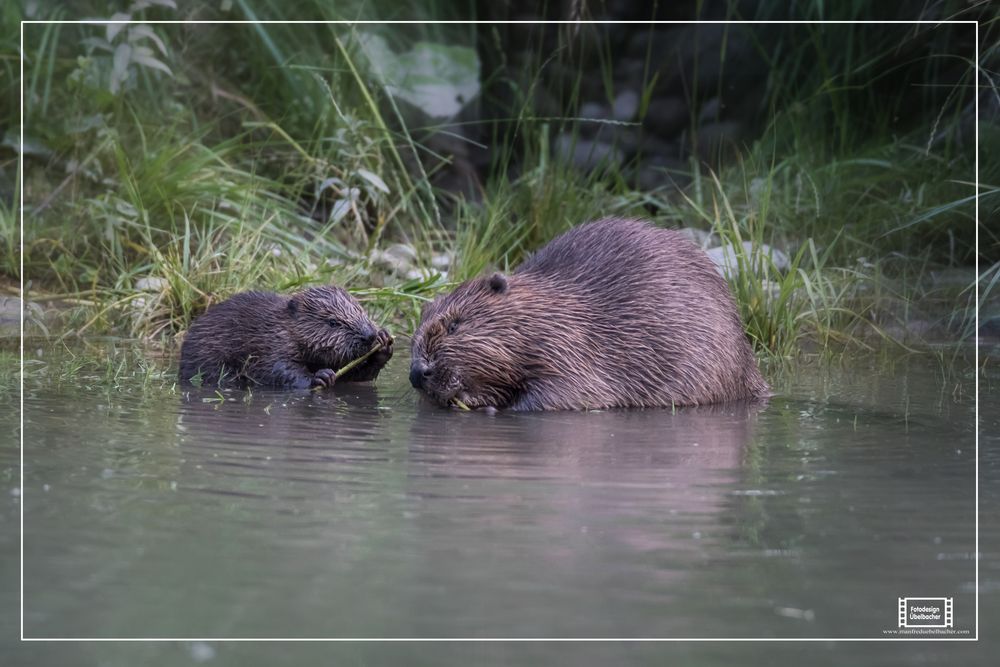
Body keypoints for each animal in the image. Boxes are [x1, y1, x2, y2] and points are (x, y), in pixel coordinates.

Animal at [180, 286, 390, 388]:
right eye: (332, 322)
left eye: (361, 310)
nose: (369, 335)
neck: (282, 326)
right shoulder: (270, 342)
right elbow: (277, 368)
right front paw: (320, 377)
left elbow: (354, 376)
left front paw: (384, 340)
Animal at [410, 217, 768, 410]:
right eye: (414, 337)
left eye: (455, 325)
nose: (418, 372)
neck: (547, 312)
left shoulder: (570, 347)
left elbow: (570, 394)